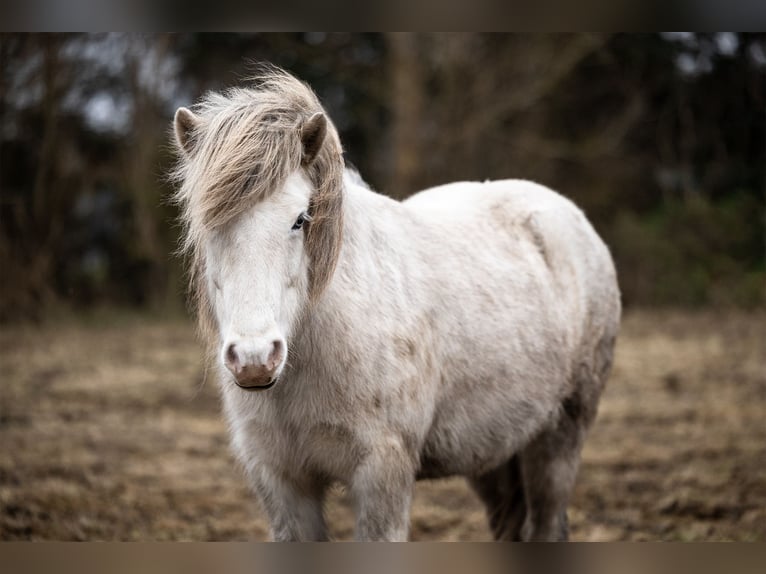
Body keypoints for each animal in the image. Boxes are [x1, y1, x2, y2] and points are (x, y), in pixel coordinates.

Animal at [171, 68, 620, 544]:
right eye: (207, 223)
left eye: (300, 219)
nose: (255, 359)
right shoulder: (282, 483)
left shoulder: (382, 475)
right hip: (494, 452)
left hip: (558, 440)